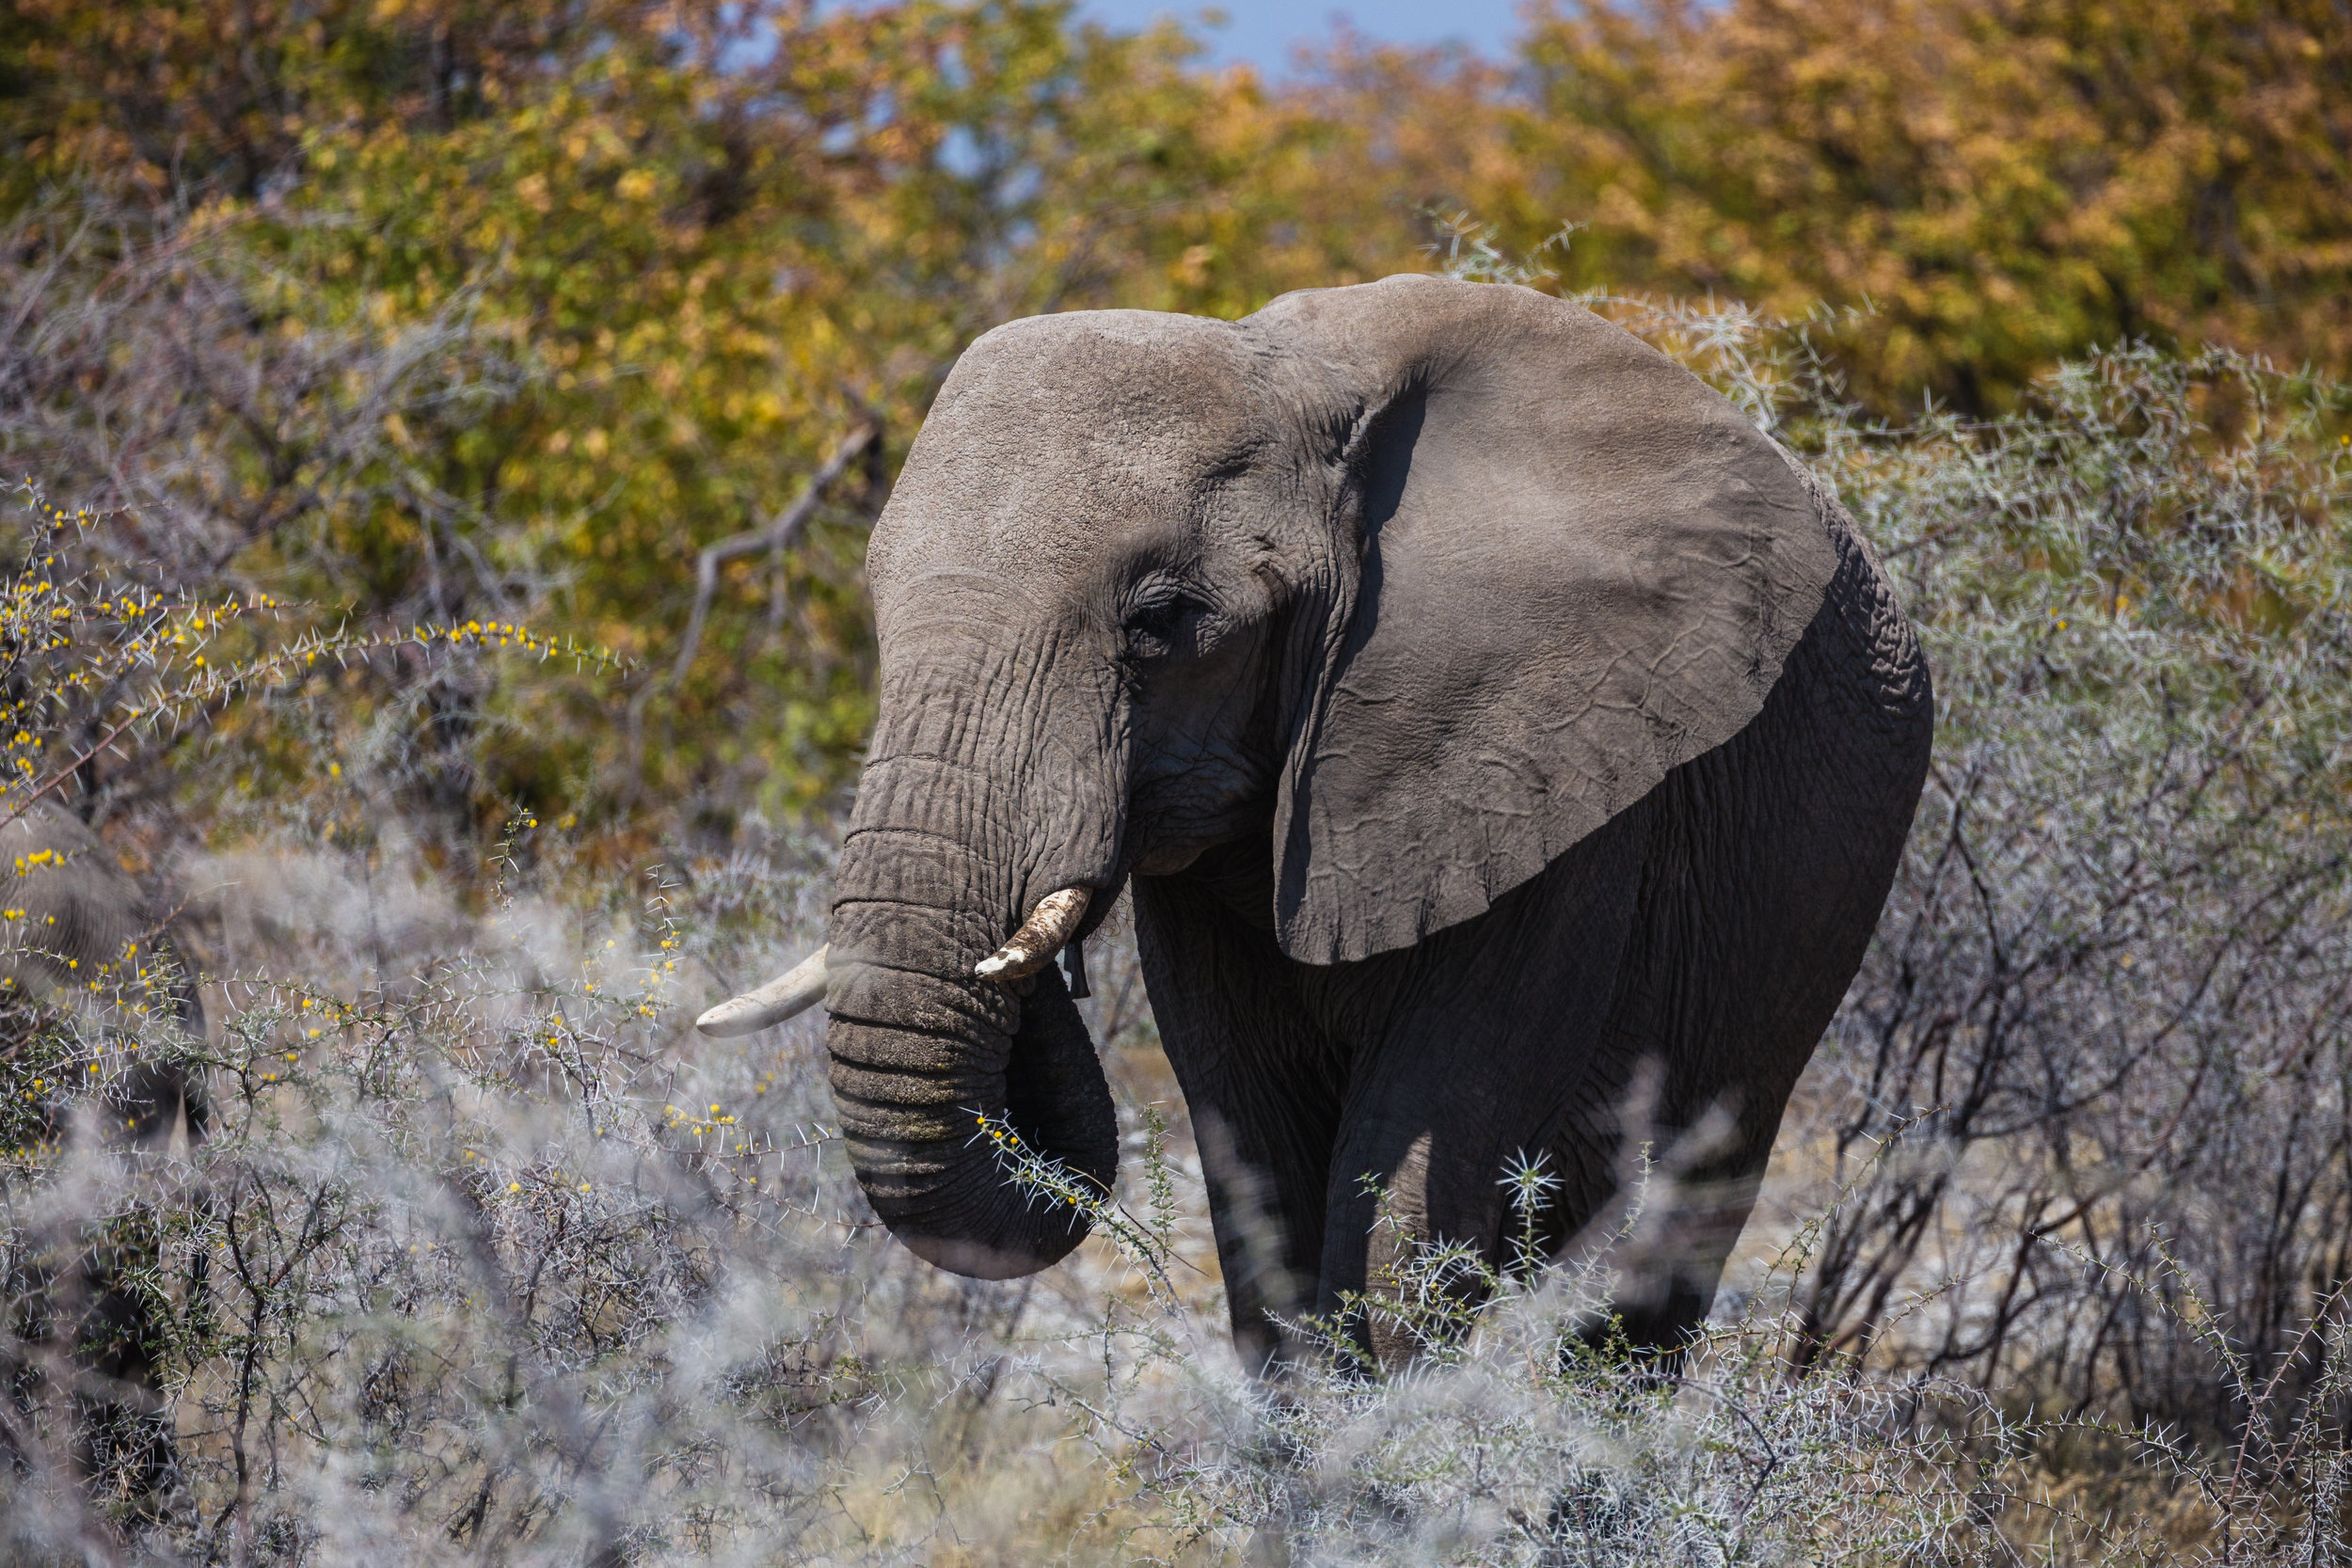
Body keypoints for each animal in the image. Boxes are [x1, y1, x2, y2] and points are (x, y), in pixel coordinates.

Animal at [696, 276, 1929, 1363]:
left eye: (1161, 618)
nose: (1039, 940)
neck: (1298, 382)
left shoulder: (1561, 776)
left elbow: (1414, 1167)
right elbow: (1255, 1158)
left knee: (1655, 1266)